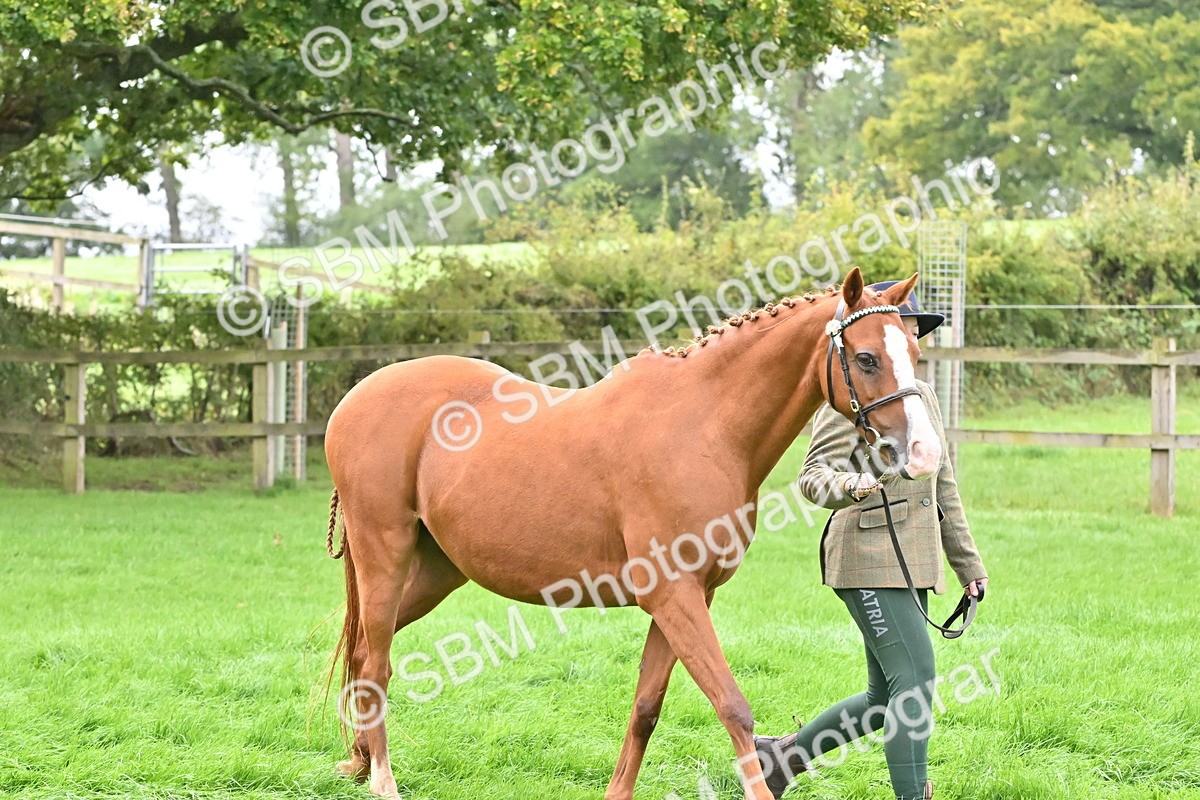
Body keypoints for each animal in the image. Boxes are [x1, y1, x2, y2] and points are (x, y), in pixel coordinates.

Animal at [322, 268, 942, 800]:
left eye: (914, 354)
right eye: (865, 358)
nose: (921, 453)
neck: (704, 427)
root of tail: (354, 397)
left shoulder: (688, 599)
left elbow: (648, 705)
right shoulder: (674, 596)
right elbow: (732, 705)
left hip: (435, 572)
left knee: (363, 650)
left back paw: (358, 761)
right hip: (385, 556)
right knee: (375, 663)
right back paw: (381, 779)